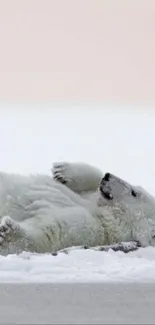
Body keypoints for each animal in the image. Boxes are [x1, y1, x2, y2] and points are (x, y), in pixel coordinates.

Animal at [0, 161, 153, 254]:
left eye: (134, 192)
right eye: (137, 188)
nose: (108, 176)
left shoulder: (91, 229)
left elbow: (49, 233)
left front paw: (7, 231)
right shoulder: (90, 199)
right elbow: (91, 183)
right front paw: (61, 171)